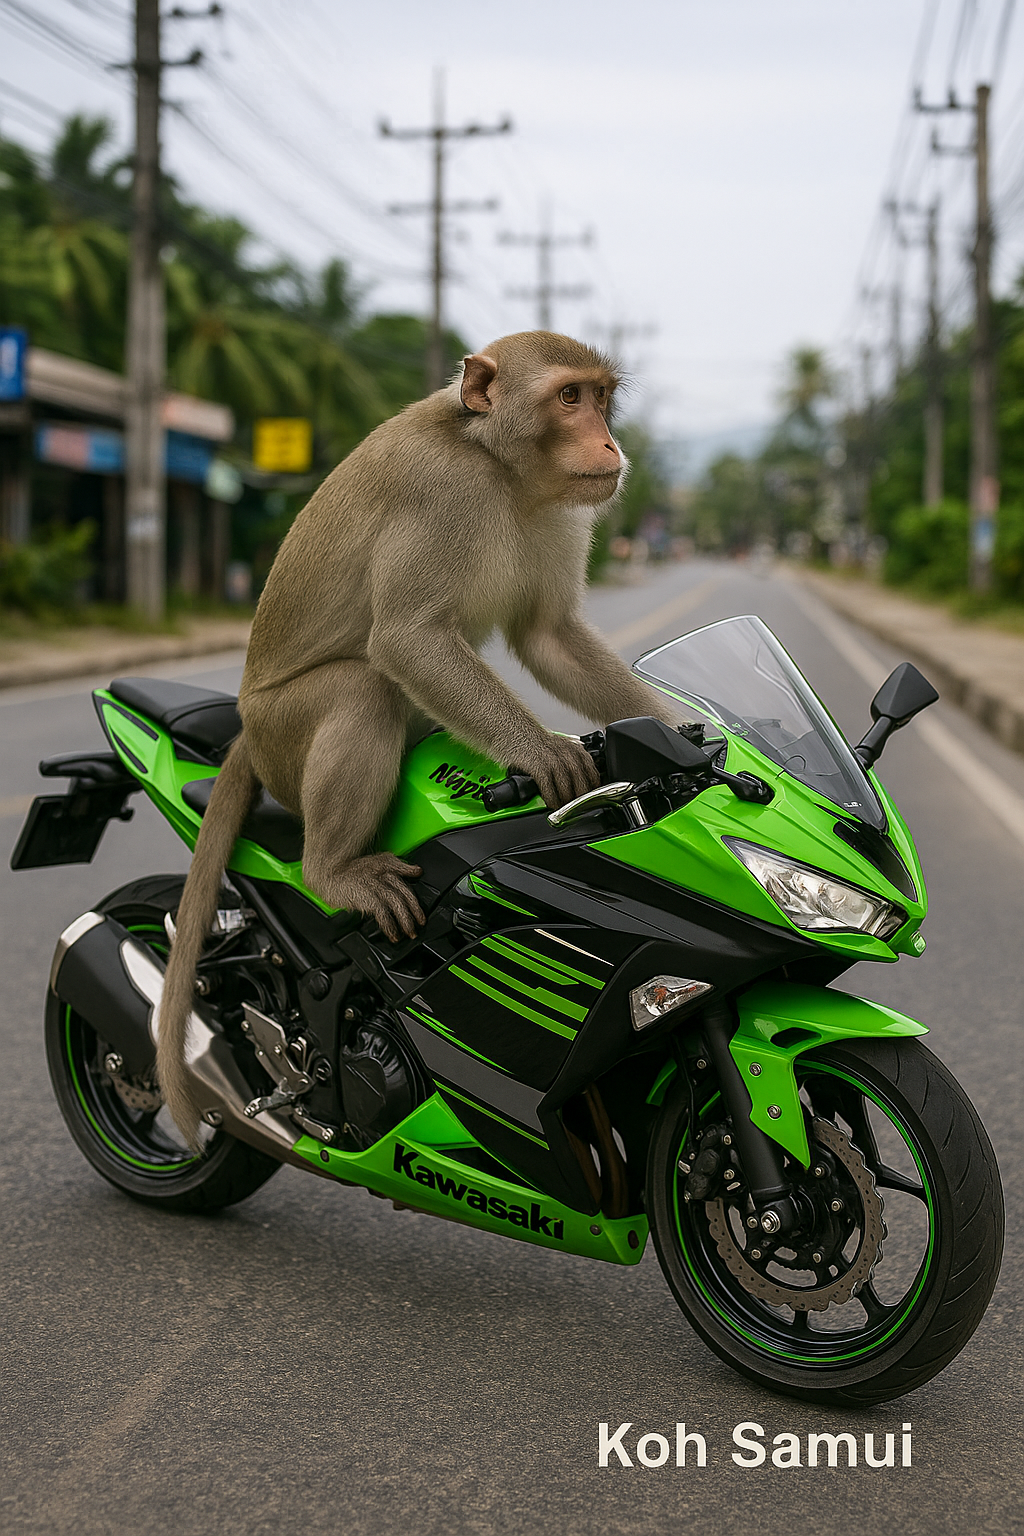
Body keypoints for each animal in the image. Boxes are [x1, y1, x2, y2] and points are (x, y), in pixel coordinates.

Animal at [156, 331, 681, 1146]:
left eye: (601, 397)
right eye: (569, 398)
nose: (608, 442)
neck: (497, 466)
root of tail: (245, 728)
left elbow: (550, 638)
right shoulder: (442, 493)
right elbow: (407, 641)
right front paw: (546, 756)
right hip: (284, 736)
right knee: (364, 689)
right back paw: (333, 871)